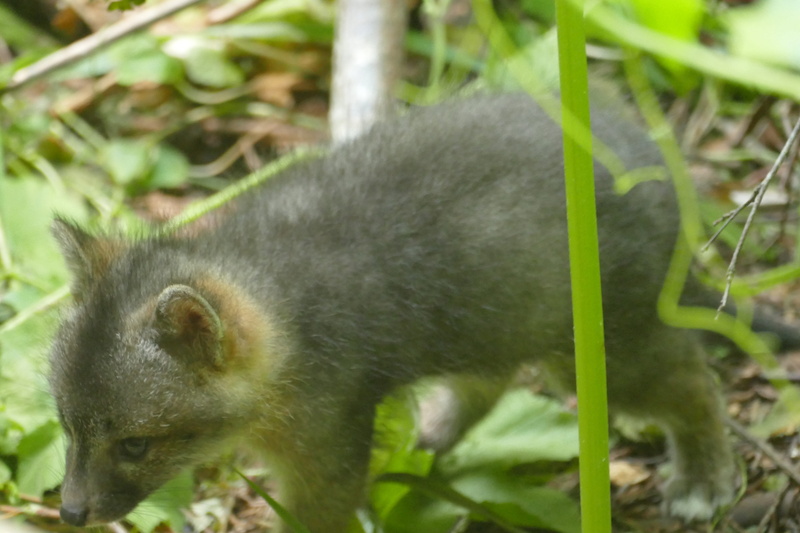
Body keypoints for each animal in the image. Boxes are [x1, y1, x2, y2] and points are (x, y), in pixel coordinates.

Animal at [49, 93, 799, 532]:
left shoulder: (323, 455)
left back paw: (704, 481)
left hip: (598, 348)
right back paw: (428, 441)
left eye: (135, 444)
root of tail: (666, 174)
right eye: (66, 425)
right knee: (487, 384)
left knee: (693, 381)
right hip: (506, 318)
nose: (69, 512)